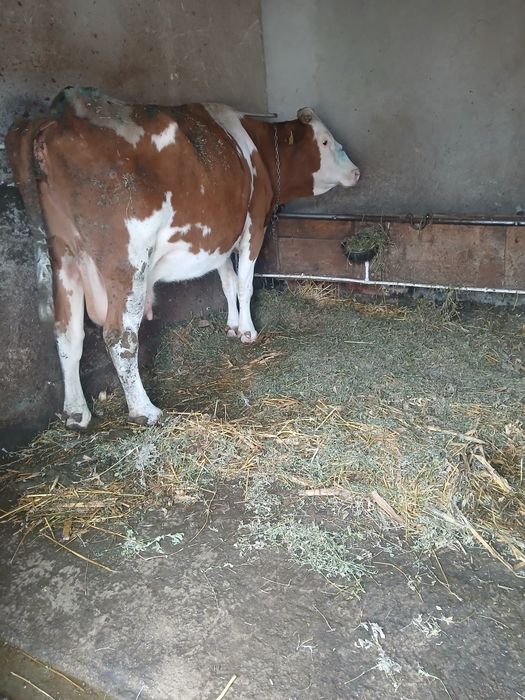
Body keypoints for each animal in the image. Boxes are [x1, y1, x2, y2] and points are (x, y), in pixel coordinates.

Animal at [6, 86, 360, 428]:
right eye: (325, 140)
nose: (356, 172)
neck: (256, 148)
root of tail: (56, 115)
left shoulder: (218, 236)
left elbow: (228, 283)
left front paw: (232, 326)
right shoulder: (253, 224)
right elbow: (245, 284)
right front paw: (248, 331)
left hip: (63, 257)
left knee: (67, 334)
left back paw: (76, 413)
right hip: (127, 262)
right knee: (119, 336)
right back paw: (144, 411)